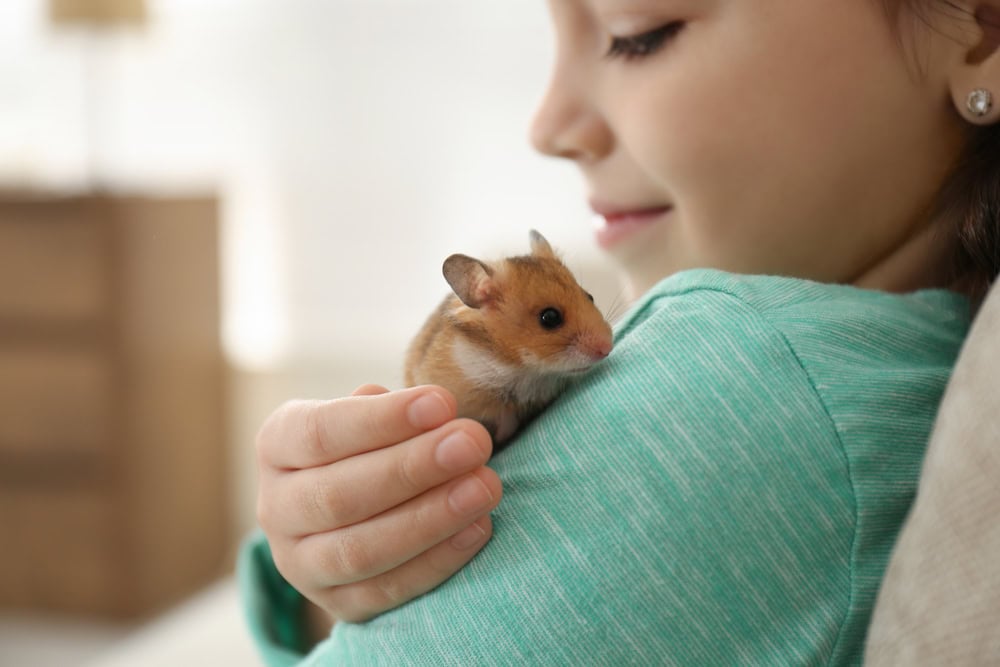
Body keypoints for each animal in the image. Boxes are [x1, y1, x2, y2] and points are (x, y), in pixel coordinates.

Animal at [404, 230, 614, 445]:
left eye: (590, 296)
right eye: (549, 317)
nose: (608, 348)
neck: (518, 368)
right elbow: (504, 416)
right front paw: (502, 436)